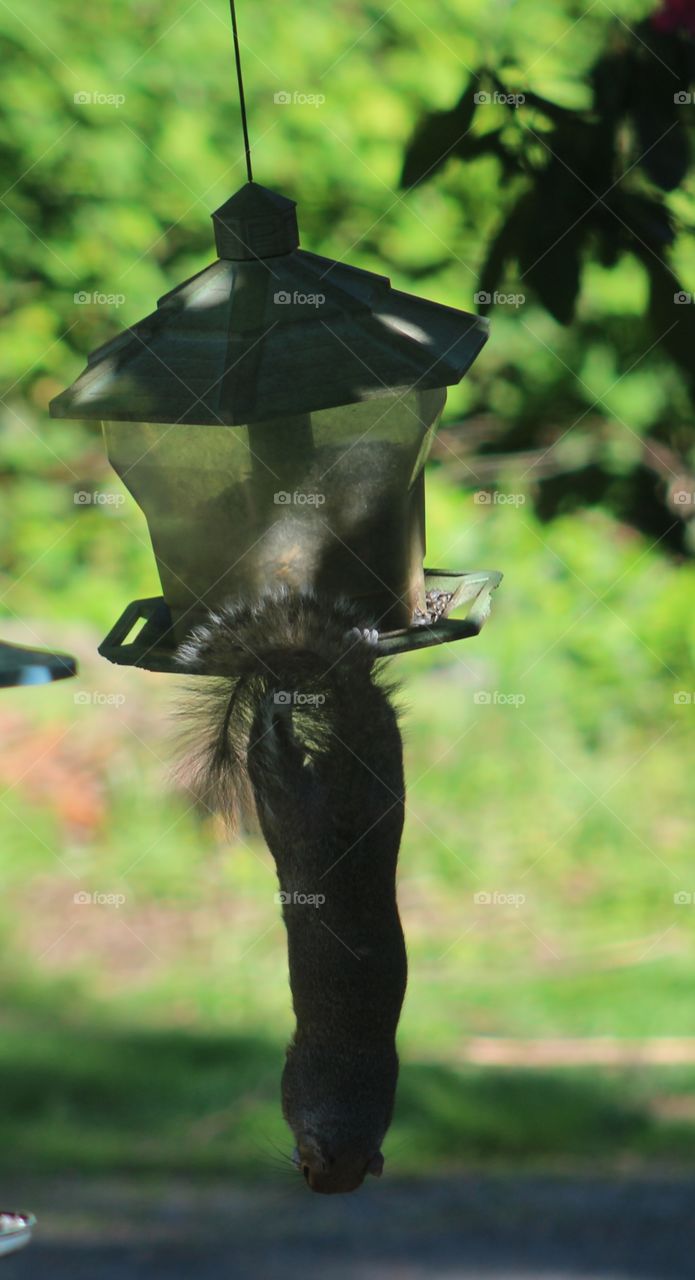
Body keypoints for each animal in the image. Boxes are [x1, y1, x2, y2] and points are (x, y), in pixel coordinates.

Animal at [175, 590, 408, 1194]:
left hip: (343, 782)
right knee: (282, 744)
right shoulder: (297, 1077)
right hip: (315, 795)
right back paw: (292, 695)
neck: (348, 1092)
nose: (304, 1179)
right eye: (309, 1169)